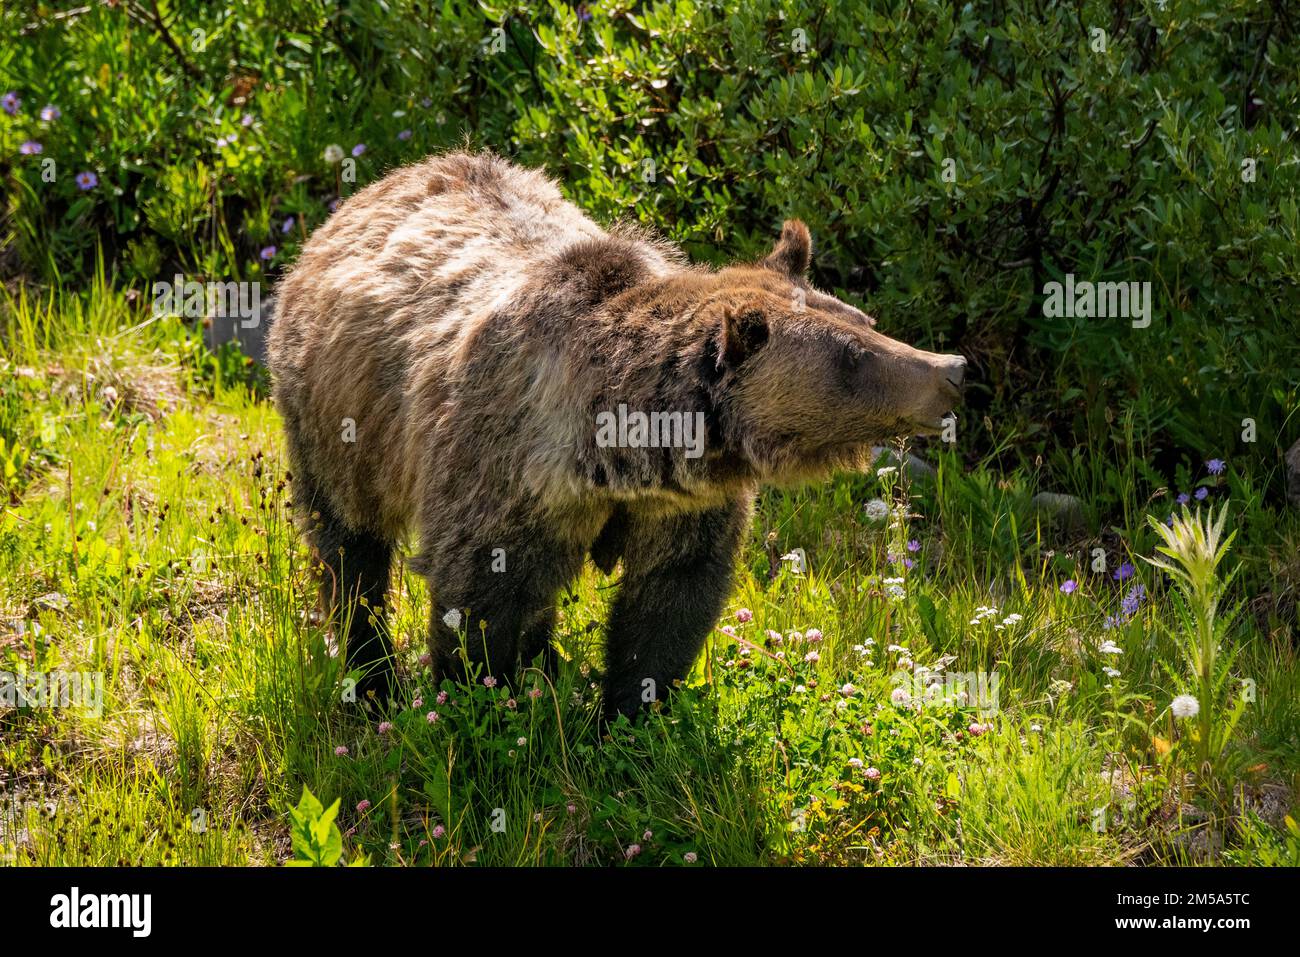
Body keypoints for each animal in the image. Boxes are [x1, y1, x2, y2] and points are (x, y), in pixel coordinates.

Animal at [267, 150, 965, 718]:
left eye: (863, 321)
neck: (618, 451)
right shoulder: (500, 468)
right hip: (336, 417)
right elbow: (479, 595)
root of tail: (376, 189)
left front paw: (629, 713)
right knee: (349, 548)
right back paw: (371, 678)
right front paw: (475, 704)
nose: (953, 369)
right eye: (853, 358)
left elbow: (669, 600)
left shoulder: (683, 503)